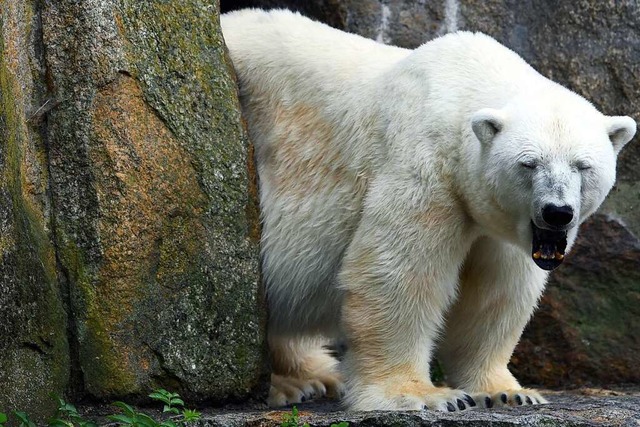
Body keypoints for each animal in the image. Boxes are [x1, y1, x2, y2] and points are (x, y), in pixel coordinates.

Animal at [220, 9, 636, 412]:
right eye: (529, 163)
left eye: (582, 165)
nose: (557, 212)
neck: (460, 88)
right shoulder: (425, 166)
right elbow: (398, 274)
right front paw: (424, 395)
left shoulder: (498, 222)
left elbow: (495, 293)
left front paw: (507, 391)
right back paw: (289, 385)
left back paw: (316, 375)